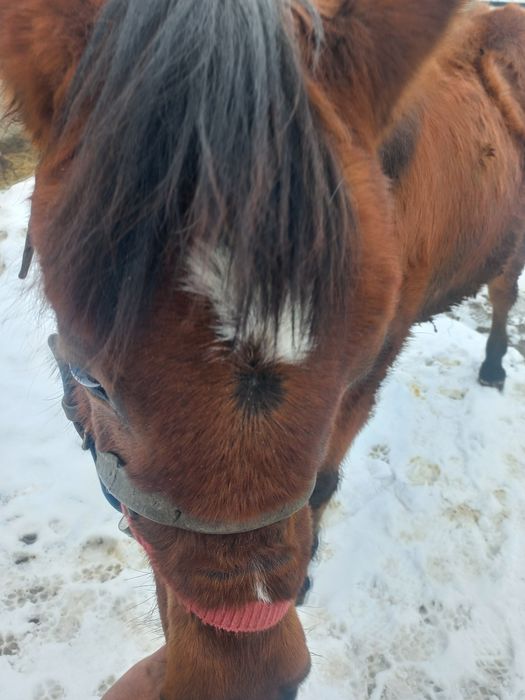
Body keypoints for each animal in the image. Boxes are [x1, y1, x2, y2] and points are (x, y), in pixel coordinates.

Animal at [1, 0, 524, 698]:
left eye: (355, 366)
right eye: (88, 378)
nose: (248, 680)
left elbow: (323, 483)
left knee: (503, 290)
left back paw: (493, 364)